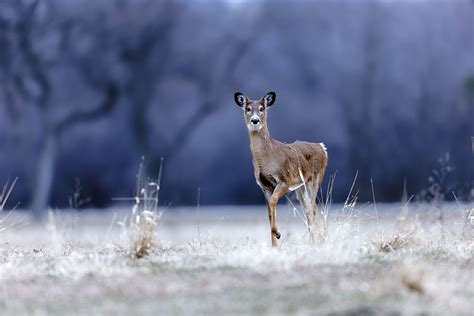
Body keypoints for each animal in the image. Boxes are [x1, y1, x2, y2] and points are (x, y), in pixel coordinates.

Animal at [234, 91, 330, 247]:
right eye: (248, 109)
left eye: (262, 108)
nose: (255, 120)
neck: (267, 158)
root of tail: (322, 147)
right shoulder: (264, 186)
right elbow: (269, 212)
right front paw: (274, 246)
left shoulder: (285, 180)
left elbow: (273, 202)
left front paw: (278, 234)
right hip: (300, 187)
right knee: (307, 209)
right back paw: (312, 240)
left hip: (315, 179)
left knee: (313, 208)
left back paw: (314, 241)